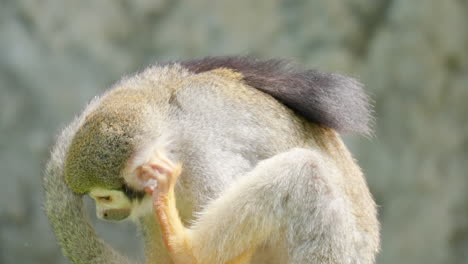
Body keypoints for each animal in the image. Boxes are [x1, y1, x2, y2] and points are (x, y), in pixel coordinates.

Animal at [43, 56, 380, 262]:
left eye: (105, 198)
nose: (103, 215)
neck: (171, 139)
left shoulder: (200, 161)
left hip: (337, 252)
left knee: (307, 171)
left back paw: (185, 249)